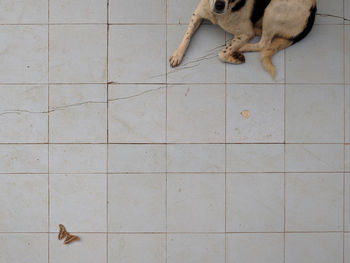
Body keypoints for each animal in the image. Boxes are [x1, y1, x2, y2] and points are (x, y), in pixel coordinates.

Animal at [170, 0, 318, 79]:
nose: (219, 5)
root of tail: (313, 10)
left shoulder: (245, 33)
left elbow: (221, 53)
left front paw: (234, 56)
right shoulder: (197, 14)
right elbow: (187, 35)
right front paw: (177, 54)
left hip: (273, 8)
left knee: (264, 44)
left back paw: (241, 48)